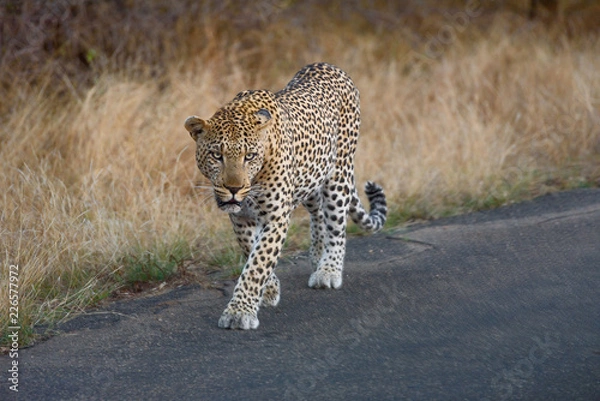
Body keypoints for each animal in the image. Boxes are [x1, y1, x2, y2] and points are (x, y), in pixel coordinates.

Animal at [185, 62, 386, 328]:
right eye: (217, 156)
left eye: (249, 156)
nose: (233, 189)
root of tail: (329, 65)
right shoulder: (241, 218)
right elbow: (251, 252)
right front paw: (269, 290)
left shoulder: (276, 216)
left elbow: (258, 263)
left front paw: (239, 312)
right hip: (311, 180)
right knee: (318, 214)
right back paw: (317, 257)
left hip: (338, 174)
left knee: (337, 226)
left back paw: (328, 271)